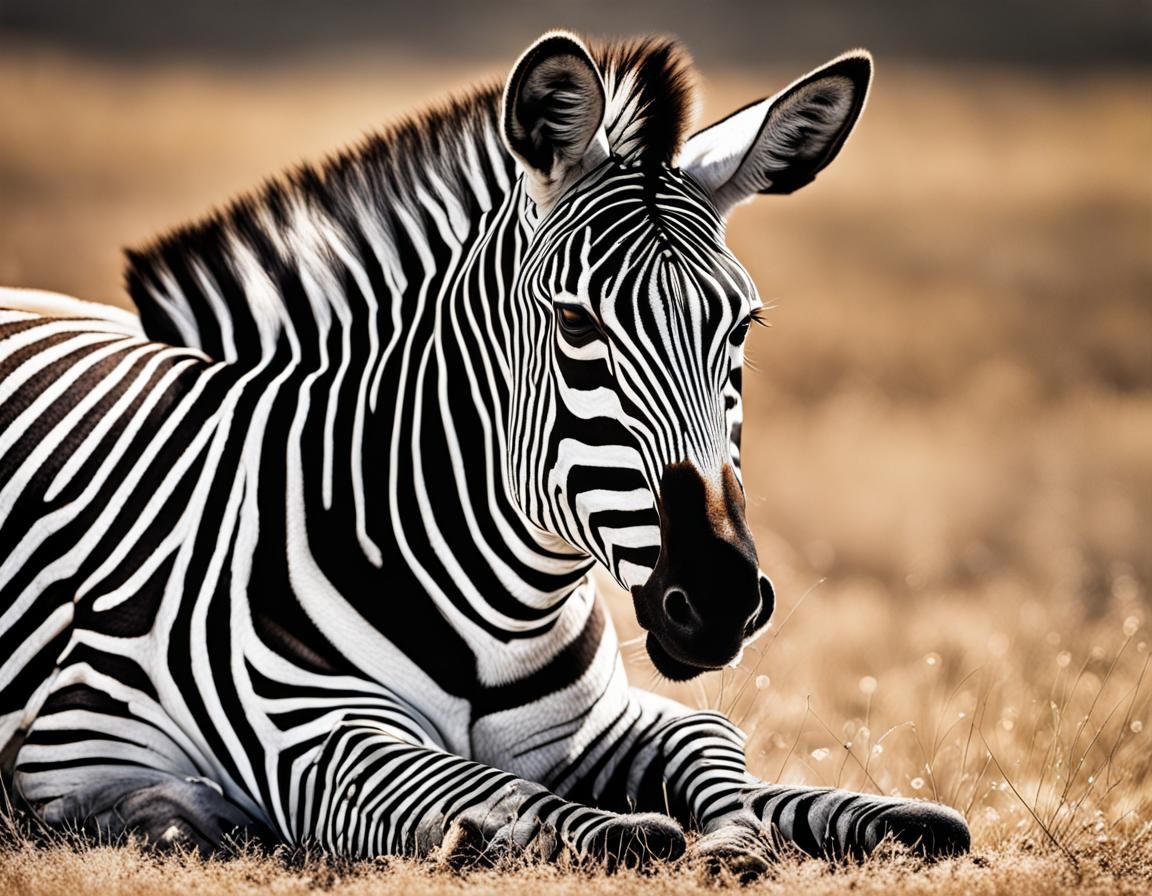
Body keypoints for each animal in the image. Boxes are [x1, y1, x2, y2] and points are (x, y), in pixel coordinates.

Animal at [0, 33, 970, 872]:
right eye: (576, 322)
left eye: (741, 326)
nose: (722, 599)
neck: (500, 606)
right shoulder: (310, 735)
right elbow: (523, 801)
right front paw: (525, 834)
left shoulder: (595, 724)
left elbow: (716, 740)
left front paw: (775, 826)